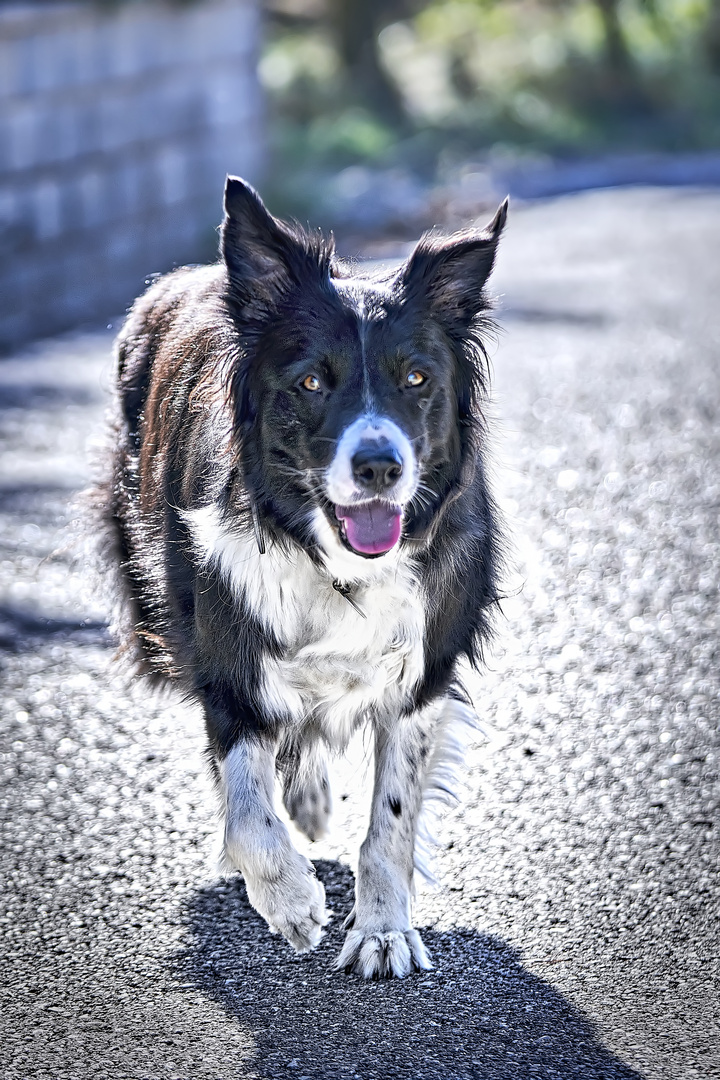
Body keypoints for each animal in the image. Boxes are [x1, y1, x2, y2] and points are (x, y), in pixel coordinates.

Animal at [105, 177, 507, 980]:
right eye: (313, 381)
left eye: (417, 378)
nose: (380, 466)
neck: (331, 559)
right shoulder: (227, 658)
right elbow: (247, 807)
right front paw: (289, 901)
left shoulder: (424, 671)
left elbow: (390, 821)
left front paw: (382, 930)